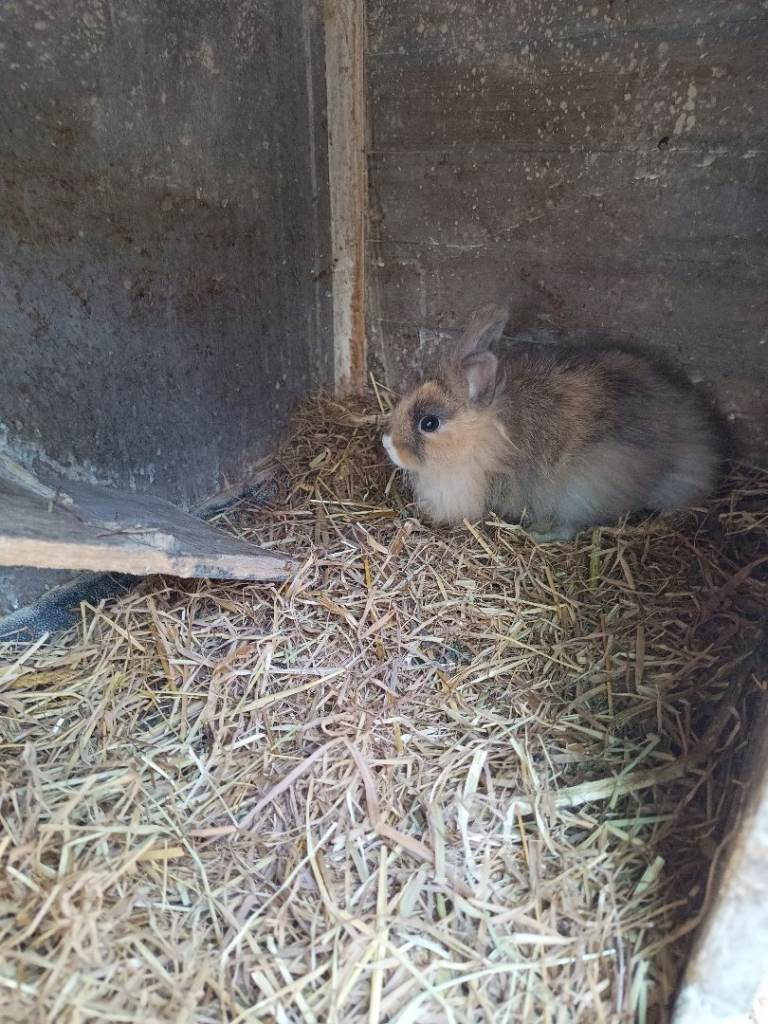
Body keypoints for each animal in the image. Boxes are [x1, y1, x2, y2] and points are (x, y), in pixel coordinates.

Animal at [381, 305, 724, 542]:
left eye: (429, 423)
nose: (388, 444)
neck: (483, 437)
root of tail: (693, 450)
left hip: (582, 490)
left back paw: (540, 534)